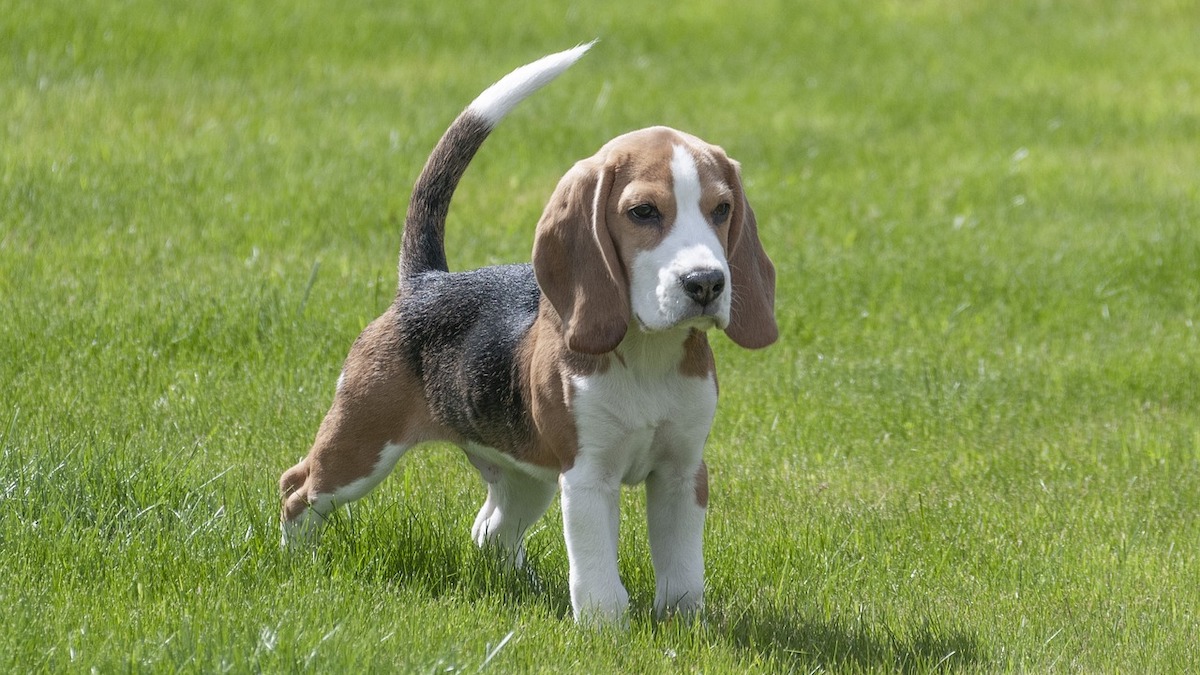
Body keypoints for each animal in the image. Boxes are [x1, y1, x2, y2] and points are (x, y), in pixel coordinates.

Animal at [276, 40, 772, 619]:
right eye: (644, 212)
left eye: (722, 209)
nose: (706, 282)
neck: (648, 355)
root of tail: (426, 281)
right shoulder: (587, 477)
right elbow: (598, 577)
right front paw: (604, 629)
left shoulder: (683, 473)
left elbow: (683, 572)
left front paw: (683, 624)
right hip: (361, 442)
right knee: (298, 488)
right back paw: (296, 559)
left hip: (525, 476)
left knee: (489, 531)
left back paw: (526, 588)